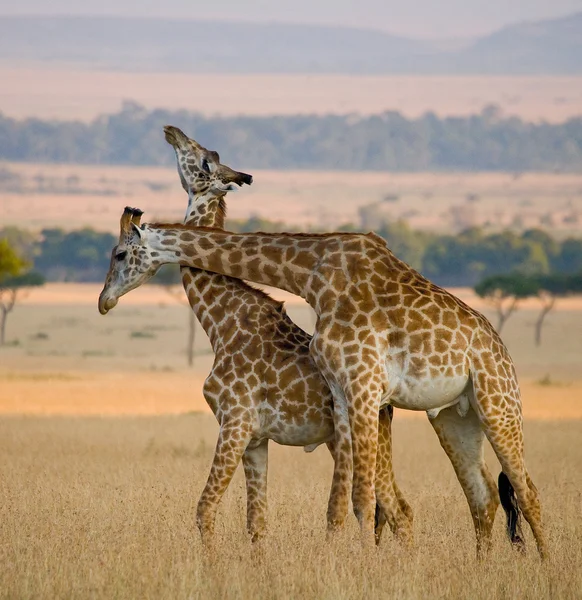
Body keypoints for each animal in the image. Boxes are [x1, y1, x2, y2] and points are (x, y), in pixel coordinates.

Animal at [102, 129, 416, 548]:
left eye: (120, 253)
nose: (104, 301)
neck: (222, 324)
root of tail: (387, 401)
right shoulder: (256, 438)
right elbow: (256, 524)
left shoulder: (234, 422)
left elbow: (205, 510)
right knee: (395, 508)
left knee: (397, 510)